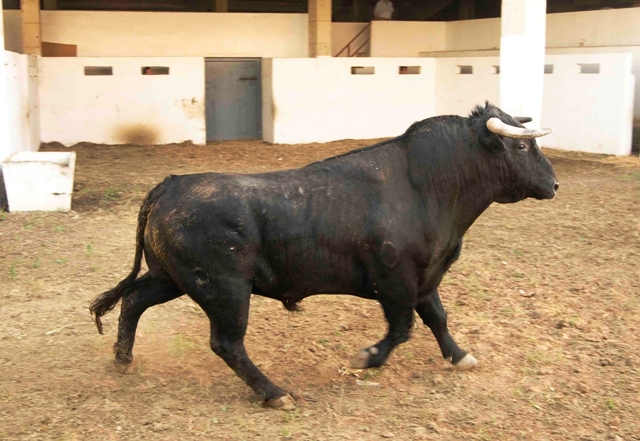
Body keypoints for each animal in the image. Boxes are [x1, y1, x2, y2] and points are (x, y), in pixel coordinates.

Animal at [91, 103, 560, 410]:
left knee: (133, 301)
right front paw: (366, 358)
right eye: (522, 148)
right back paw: (275, 393)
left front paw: (460, 356)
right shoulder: (396, 281)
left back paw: (123, 360)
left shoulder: (426, 278)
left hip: (170, 277)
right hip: (224, 290)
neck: (427, 186)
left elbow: (437, 319)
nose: (554, 184)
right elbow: (402, 328)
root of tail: (170, 185)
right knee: (227, 343)